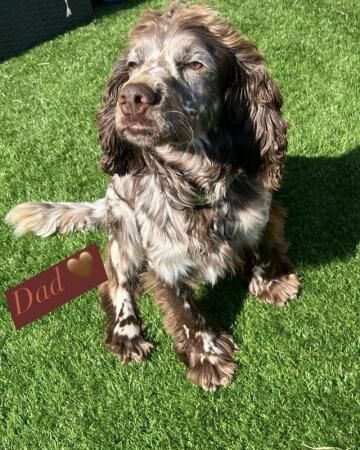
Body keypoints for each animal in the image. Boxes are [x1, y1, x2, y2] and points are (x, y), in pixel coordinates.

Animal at [5, 1, 300, 390]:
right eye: (132, 65)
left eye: (195, 64)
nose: (132, 96)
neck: (199, 186)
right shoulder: (165, 260)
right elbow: (186, 313)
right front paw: (208, 357)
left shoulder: (261, 214)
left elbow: (262, 246)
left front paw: (271, 283)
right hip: (124, 233)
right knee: (115, 283)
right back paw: (127, 334)